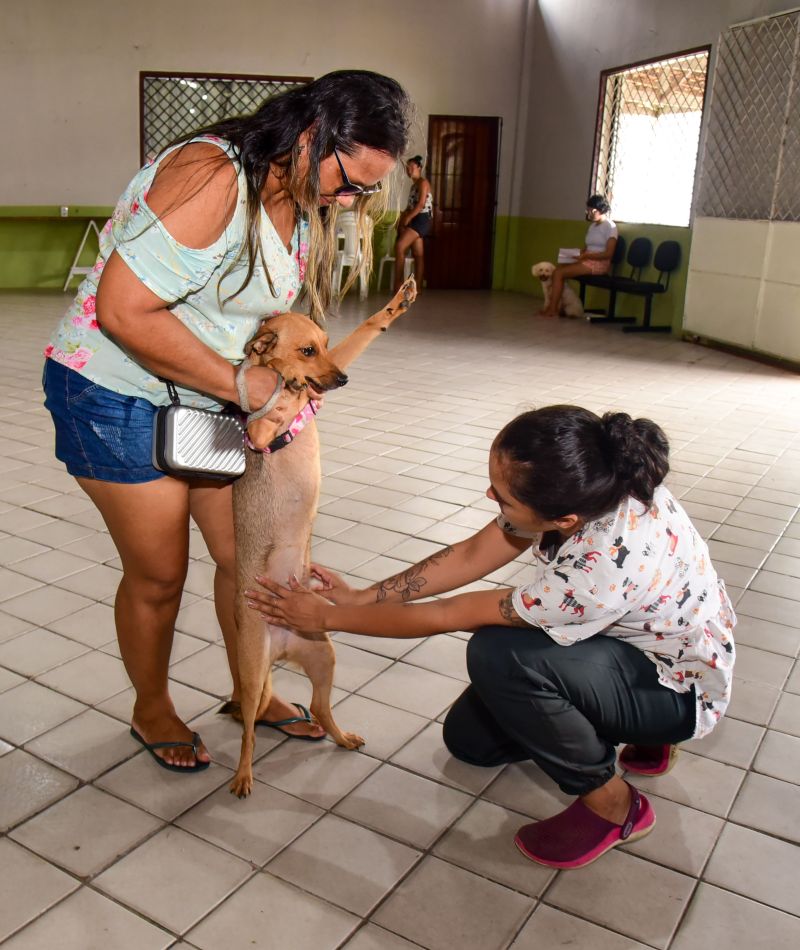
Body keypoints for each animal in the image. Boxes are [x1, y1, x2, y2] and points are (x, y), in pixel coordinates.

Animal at [223, 278, 416, 800]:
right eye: (307, 349)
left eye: (327, 345)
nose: (342, 381)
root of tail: (283, 646)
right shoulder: (259, 431)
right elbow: (268, 401)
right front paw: (282, 382)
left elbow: (367, 329)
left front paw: (396, 304)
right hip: (252, 674)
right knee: (248, 731)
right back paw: (242, 776)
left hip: (324, 657)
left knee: (325, 711)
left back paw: (341, 736)